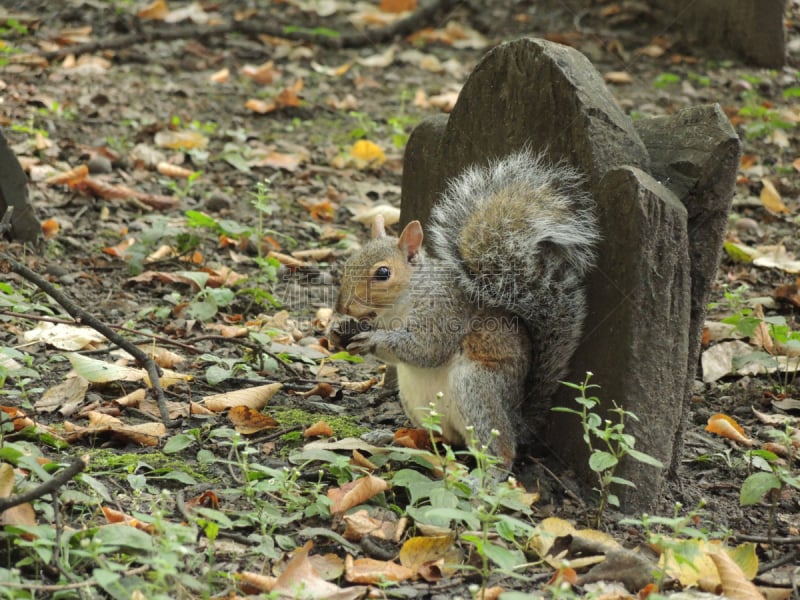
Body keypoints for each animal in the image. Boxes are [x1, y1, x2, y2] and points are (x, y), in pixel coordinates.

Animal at [334, 151, 596, 468]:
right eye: (348, 263)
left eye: (383, 273)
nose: (343, 305)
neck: (397, 309)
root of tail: (518, 421)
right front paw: (336, 333)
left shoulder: (445, 312)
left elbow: (427, 348)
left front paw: (373, 339)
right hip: (416, 402)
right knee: (445, 439)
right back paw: (398, 437)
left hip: (478, 388)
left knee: (500, 451)